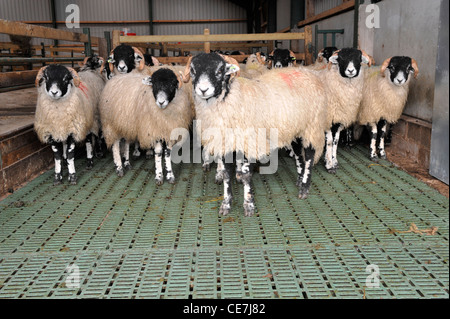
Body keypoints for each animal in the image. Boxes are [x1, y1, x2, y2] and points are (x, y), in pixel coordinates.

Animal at [183, 52, 326, 218]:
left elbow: (246, 176)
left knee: (309, 155)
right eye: (193, 70)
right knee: (298, 154)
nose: (203, 89)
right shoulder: (226, 142)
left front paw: (249, 205)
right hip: (295, 128)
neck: (233, 98)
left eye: (220, 70)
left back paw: (304, 187)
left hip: (312, 126)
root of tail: (307, 72)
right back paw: (299, 178)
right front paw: (226, 204)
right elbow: (226, 174)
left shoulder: (250, 142)